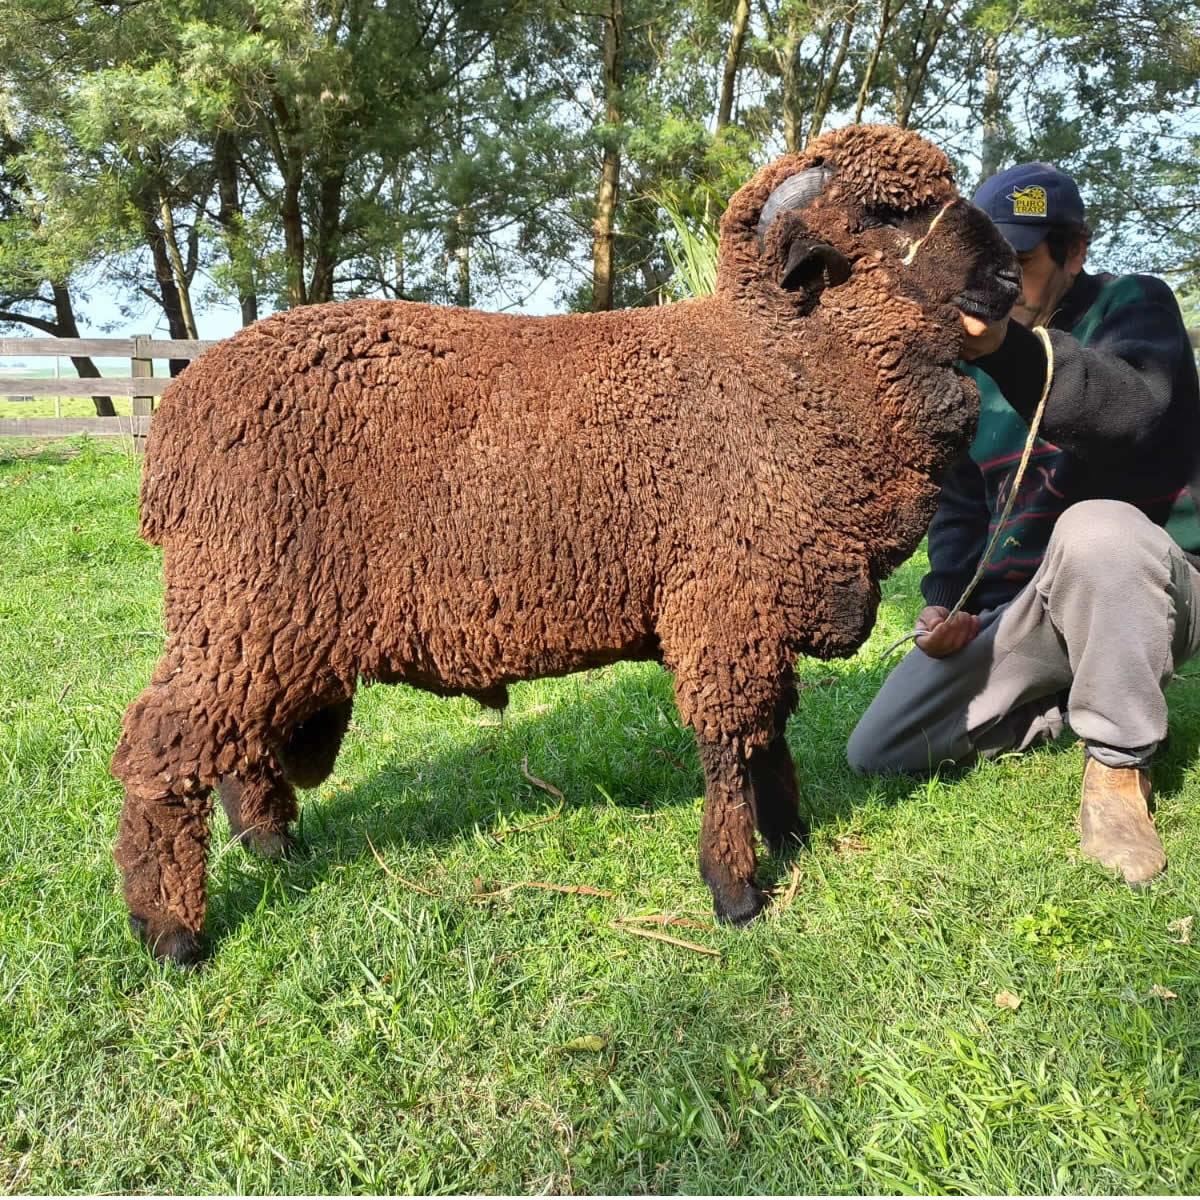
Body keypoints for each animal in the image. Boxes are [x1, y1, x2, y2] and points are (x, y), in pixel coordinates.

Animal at [112, 124, 1017, 964]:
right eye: (887, 213)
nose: (1009, 275)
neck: (775, 369)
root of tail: (179, 419)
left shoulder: (762, 605)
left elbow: (768, 735)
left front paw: (791, 834)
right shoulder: (723, 604)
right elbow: (730, 746)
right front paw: (735, 891)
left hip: (260, 627)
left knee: (235, 744)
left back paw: (270, 846)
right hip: (246, 597)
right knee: (162, 745)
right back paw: (172, 932)